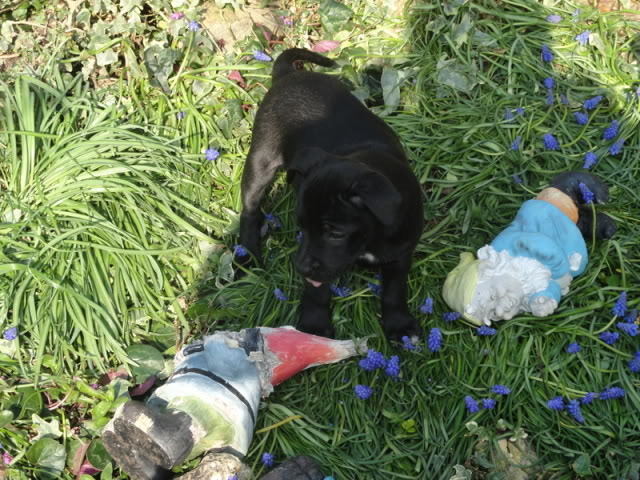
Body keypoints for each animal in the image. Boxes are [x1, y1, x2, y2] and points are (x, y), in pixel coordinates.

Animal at [238, 48, 422, 340]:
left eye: (335, 233)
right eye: (301, 227)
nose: (300, 268)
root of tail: (288, 75)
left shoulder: (400, 254)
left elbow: (395, 290)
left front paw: (399, 325)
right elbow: (317, 289)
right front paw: (314, 325)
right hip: (260, 161)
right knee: (250, 209)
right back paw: (247, 255)